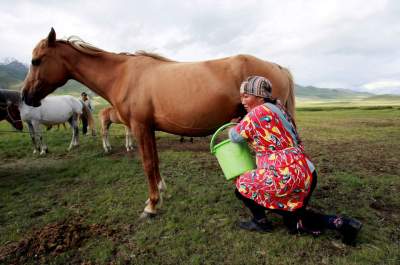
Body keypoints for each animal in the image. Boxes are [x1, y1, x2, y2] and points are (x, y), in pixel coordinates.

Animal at [22, 28, 296, 217]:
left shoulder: (140, 127)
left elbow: (147, 164)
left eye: (36, 60)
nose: (26, 96)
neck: (123, 75)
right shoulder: (148, 129)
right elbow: (154, 162)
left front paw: (152, 206)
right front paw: (160, 194)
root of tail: (278, 66)